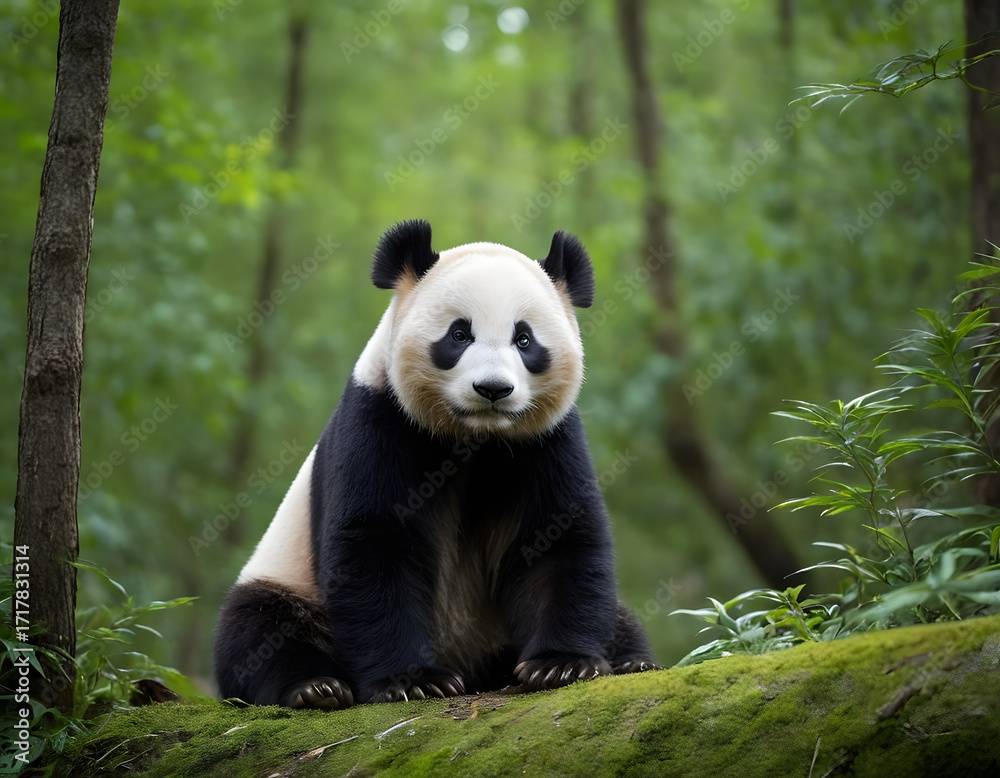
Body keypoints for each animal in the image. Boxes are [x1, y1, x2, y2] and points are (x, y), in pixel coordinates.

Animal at [213, 220, 659, 709]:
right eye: (459, 335)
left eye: (524, 339)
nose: (493, 389)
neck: (476, 438)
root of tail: (479, 668)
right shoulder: (381, 418)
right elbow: (375, 542)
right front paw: (414, 680)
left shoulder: (546, 440)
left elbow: (557, 536)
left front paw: (561, 664)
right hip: (288, 574)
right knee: (259, 625)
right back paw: (315, 687)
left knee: (618, 616)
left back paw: (634, 661)